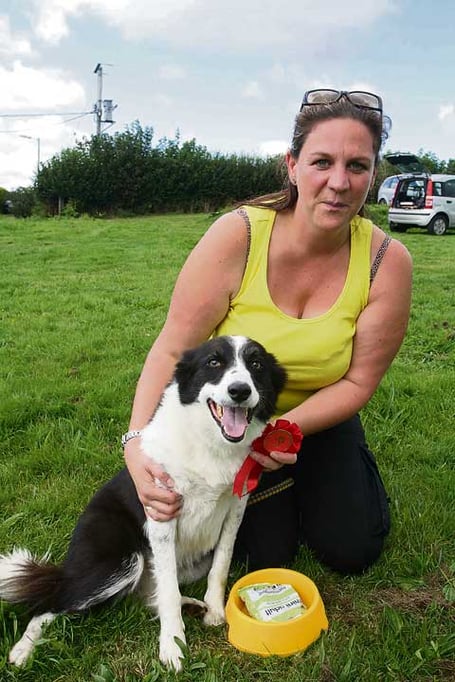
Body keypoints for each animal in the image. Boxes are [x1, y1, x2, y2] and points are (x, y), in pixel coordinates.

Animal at [0, 335, 286, 671]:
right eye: (214, 362)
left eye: (256, 364)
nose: (239, 391)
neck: (210, 444)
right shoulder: (162, 511)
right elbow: (169, 589)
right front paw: (173, 646)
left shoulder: (236, 507)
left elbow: (220, 564)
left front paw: (215, 610)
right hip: (120, 562)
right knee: (52, 603)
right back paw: (23, 650)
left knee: (151, 595)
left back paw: (193, 605)